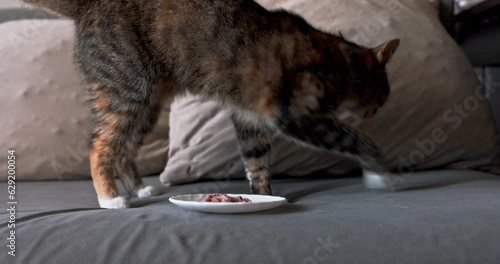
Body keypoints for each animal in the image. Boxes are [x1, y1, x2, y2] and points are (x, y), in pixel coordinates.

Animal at [23, 0, 400, 209]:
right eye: (384, 95)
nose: (377, 111)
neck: (337, 61)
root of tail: (89, 6)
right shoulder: (296, 114)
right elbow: (356, 139)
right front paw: (381, 171)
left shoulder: (250, 117)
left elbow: (256, 161)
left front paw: (264, 195)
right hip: (125, 90)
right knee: (100, 145)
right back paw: (110, 199)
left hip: (147, 104)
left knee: (124, 149)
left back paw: (140, 188)